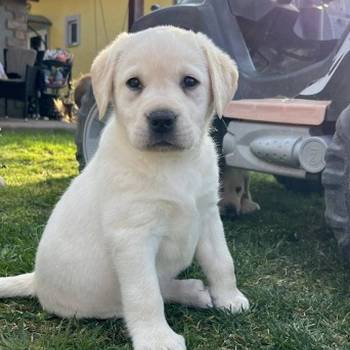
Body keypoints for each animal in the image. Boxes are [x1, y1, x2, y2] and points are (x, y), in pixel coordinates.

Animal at [1, 27, 250, 350]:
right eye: (134, 83)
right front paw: (157, 338)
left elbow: (222, 261)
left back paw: (192, 291)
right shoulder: (133, 237)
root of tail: (36, 281)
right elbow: (145, 294)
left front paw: (229, 298)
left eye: (189, 82)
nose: (161, 118)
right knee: (146, 293)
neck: (172, 163)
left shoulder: (207, 215)